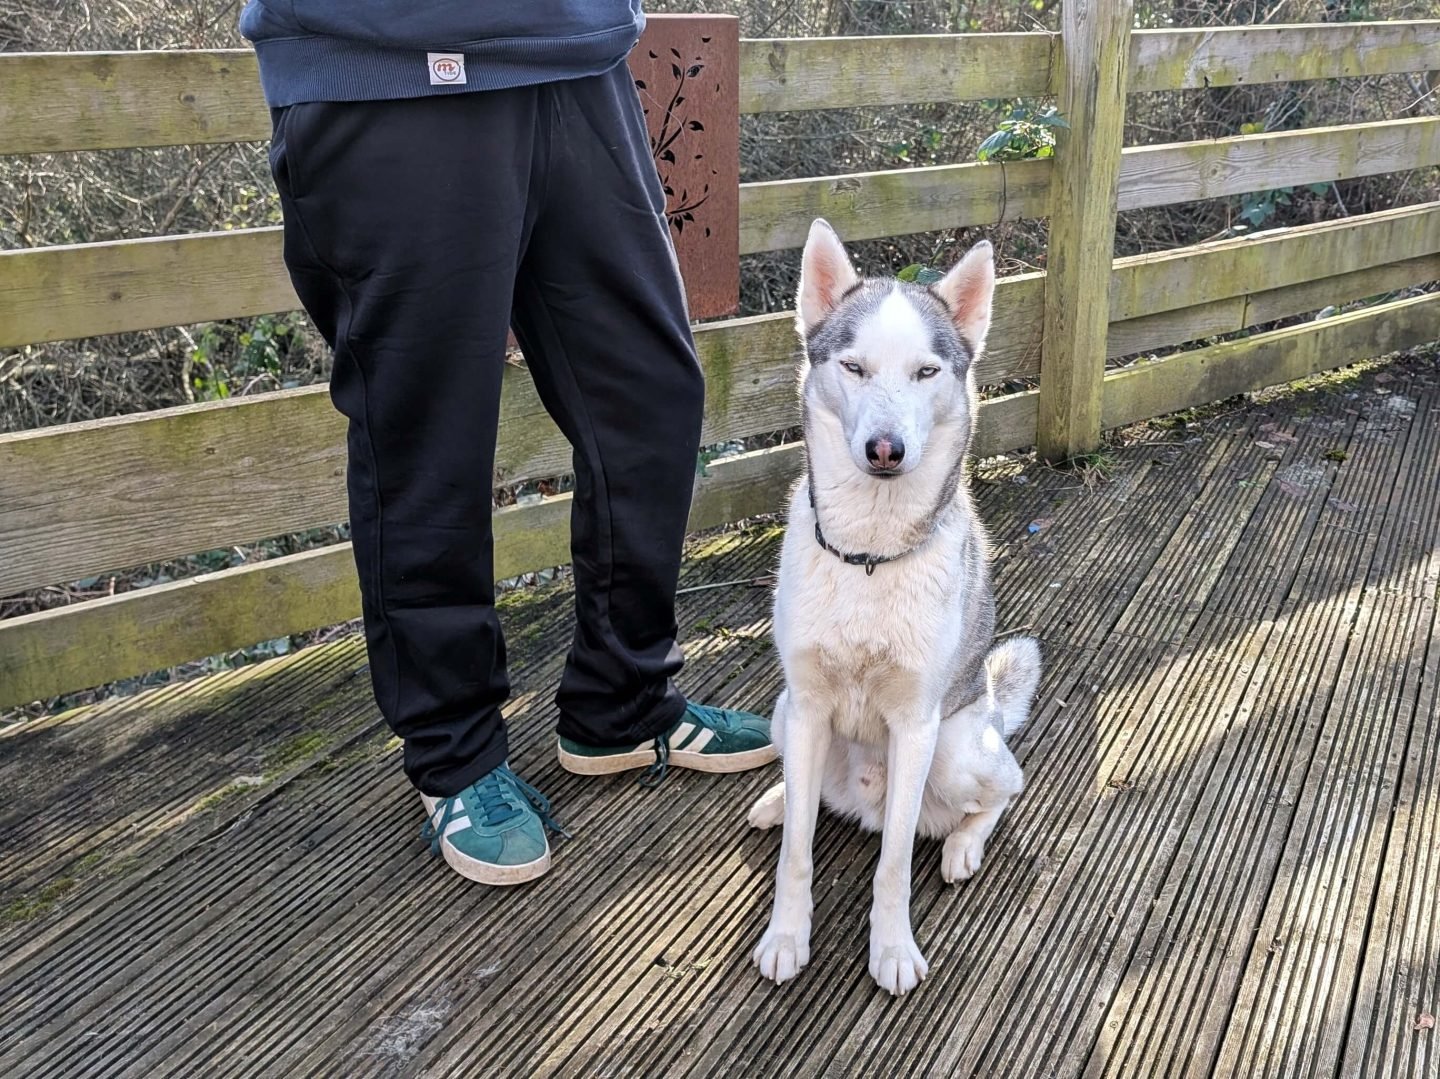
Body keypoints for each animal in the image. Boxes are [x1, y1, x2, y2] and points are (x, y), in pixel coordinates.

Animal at [748, 218, 1042, 991]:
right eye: (853, 367)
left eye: (926, 372)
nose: (886, 449)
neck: (869, 558)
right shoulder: (810, 706)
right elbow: (797, 854)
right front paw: (786, 934)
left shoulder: (916, 726)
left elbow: (893, 867)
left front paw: (891, 947)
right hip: (784, 712)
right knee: (802, 792)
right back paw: (775, 798)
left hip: (958, 749)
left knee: (1004, 791)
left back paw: (964, 847)